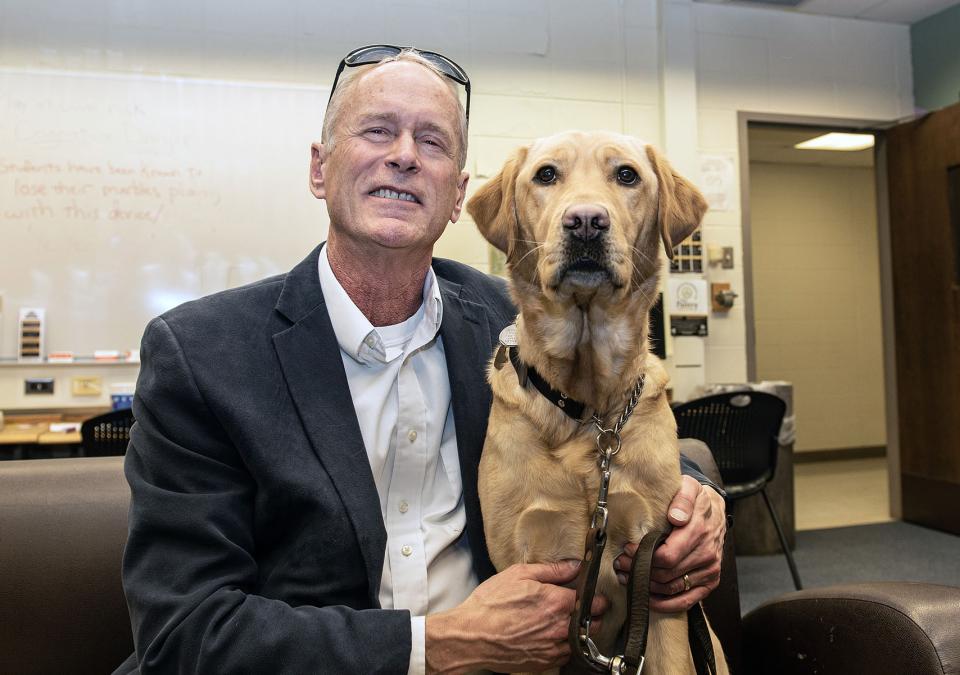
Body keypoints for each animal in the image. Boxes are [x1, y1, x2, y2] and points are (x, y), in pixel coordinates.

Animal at [466, 132, 728, 675]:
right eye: (546, 175)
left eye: (626, 175)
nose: (586, 221)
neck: (590, 414)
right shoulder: (528, 582)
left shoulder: (655, 572)